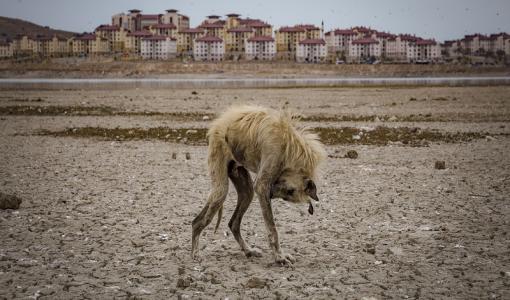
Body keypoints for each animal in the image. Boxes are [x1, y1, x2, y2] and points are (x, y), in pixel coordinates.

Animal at [191, 105, 326, 264]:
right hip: (221, 188)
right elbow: (272, 229)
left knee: (233, 223)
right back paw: (195, 253)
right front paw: (279, 257)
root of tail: (217, 124)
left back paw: (248, 250)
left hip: (246, 191)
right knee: (198, 221)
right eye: (290, 191)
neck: (289, 146)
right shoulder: (262, 186)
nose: (271, 194)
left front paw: (280, 255)